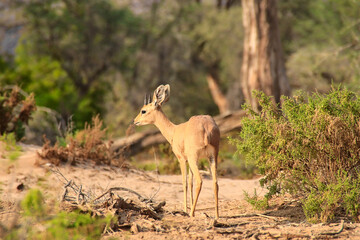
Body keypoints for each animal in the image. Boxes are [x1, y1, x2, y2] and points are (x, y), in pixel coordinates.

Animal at [134, 84, 221, 219]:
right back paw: (216, 216)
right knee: (215, 182)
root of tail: (206, 128)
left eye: (143, 110)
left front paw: (186, 209)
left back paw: (190, 213)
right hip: (212, 157)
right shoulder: (190, 161)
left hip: (194, 158)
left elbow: (184, 183)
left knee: (200, 181)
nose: (134, 121)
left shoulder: (182, 159)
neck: (174, 131)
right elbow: (190, 182)